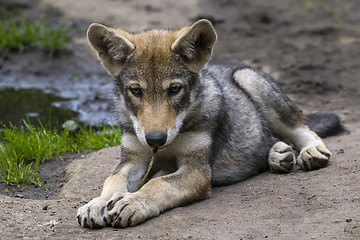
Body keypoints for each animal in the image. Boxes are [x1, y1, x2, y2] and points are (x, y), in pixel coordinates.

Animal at [77, 19, 336, 228]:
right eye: (136, 91)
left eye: (174, 89)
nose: (155, 140)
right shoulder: (134, 158)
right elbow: (113, 180)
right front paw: (97, 203)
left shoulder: (197, 170)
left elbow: (158, 184)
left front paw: (133, 202)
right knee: (275, 141)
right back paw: (278, 155)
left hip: (251, 81)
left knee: (303, 129)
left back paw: (310, 151)